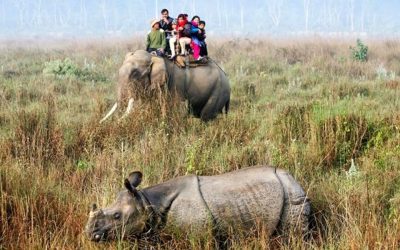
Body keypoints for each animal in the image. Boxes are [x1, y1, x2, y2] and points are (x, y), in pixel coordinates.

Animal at [100, 49, 231, 122]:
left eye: (135, 73)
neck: (154, 57)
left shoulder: (175, 84)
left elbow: (174, 108)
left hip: (218, 91)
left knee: (206, 117)